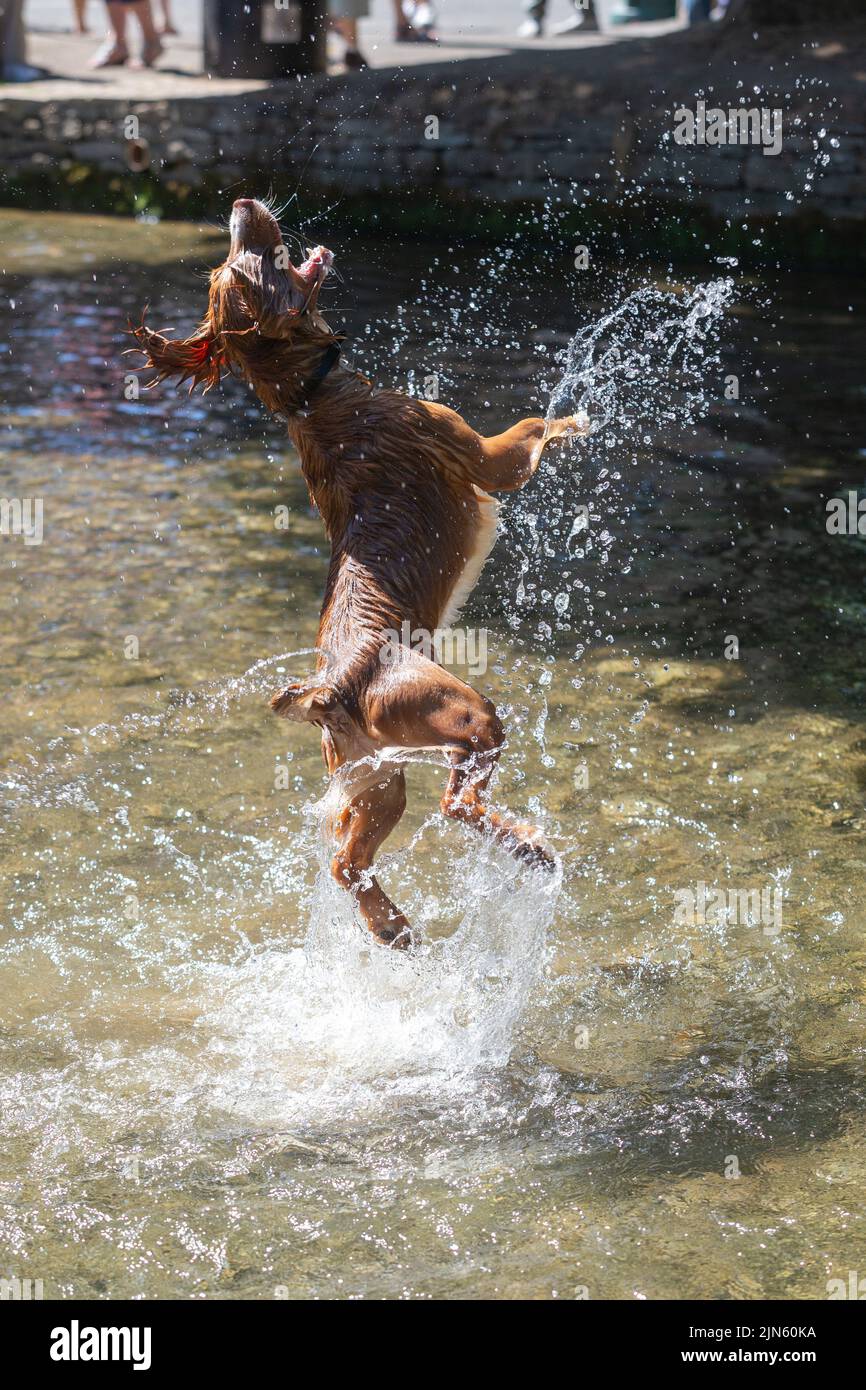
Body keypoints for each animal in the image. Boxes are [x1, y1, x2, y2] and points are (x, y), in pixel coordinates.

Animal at [132, 195, 586, 950]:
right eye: (248, 265)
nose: (241, 204)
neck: (312, 396)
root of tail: (332, 684)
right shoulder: (487, 457)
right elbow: (533, 427)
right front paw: (581, 415)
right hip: (467, 716)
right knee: (455, 803)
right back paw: (526, 848)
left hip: (376, 784)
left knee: (348, 864)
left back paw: (396, 930)